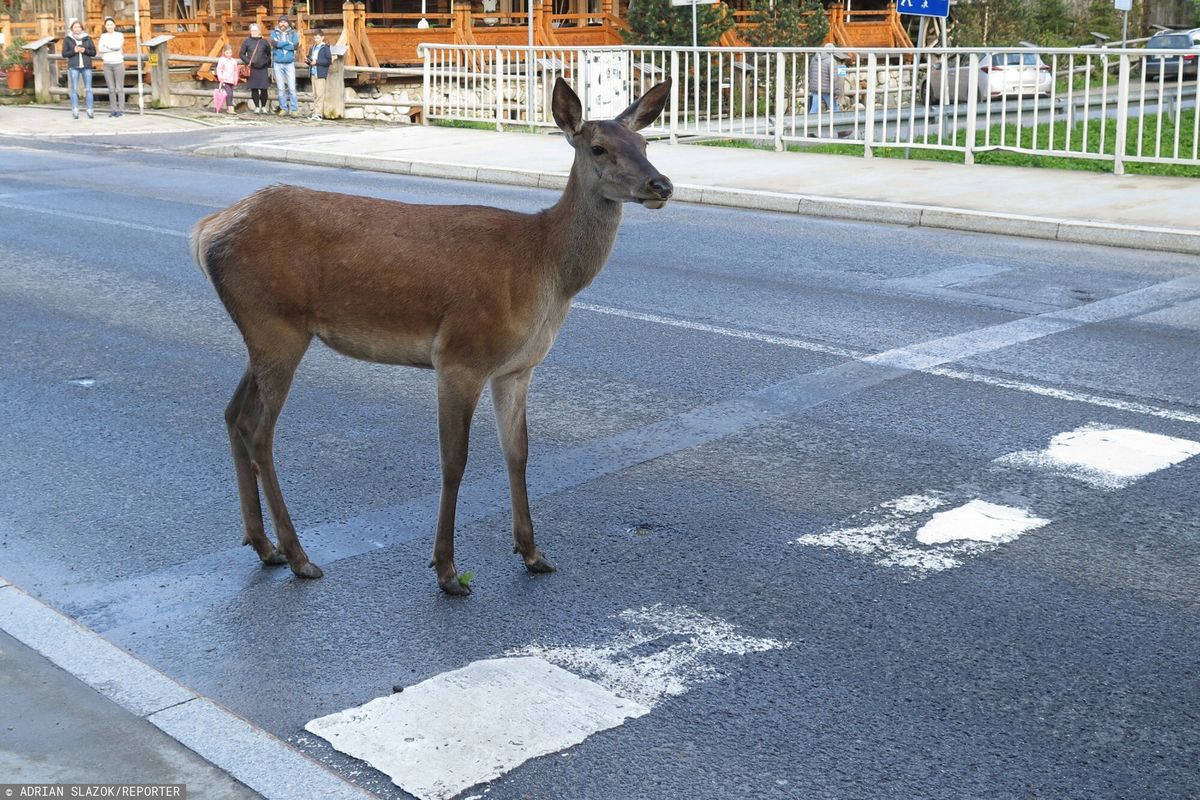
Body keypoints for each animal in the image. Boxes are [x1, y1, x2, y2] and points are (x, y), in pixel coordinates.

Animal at [192, 77, 672, 597]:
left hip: (265, 331)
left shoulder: (517, 368)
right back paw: (300, 557)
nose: (661, 185)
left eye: (645, 143)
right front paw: (446, 570)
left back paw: (265, 546)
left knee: (234, 415)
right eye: (599, 148)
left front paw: (533, 553)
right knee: (261, 432)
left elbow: (518, 453)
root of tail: (206, 231)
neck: (544, 269)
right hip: (276, 325)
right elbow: (454, 460)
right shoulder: (460, 355)